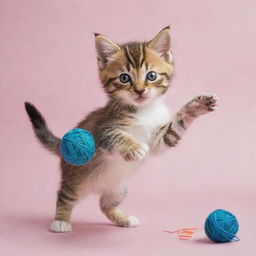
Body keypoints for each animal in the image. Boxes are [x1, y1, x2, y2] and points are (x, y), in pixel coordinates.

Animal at [24, 26, 218, 232]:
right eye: (124, 78)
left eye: (151, 75)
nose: (140, 90)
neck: (143, 110)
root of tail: (64, 146)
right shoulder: (103, 131)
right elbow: (117, 136)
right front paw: (134, 147)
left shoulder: (159, 139)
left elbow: (175, 126)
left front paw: (198, 105)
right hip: (75, 178)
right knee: (64, 196)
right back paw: (60, 221)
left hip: (119, 188)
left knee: (105, 205)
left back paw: (123, 218)